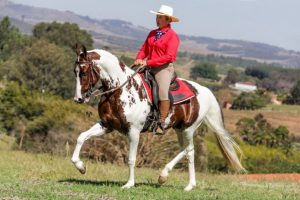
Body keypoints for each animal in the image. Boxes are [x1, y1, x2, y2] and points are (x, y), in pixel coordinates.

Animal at [71, 44, 246, 191]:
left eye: (84, 72)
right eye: (75, 72)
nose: (78, 99)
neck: (121, 89)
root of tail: (204, 91)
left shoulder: (133, 131)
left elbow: (131, 158)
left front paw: (129, 184)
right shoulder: (107, 125)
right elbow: (81, 137)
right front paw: (81, 167)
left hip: (189, 129)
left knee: (189, 150)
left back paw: (173, 179)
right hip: (179, 129)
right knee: (187, 151)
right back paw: (179, 182)